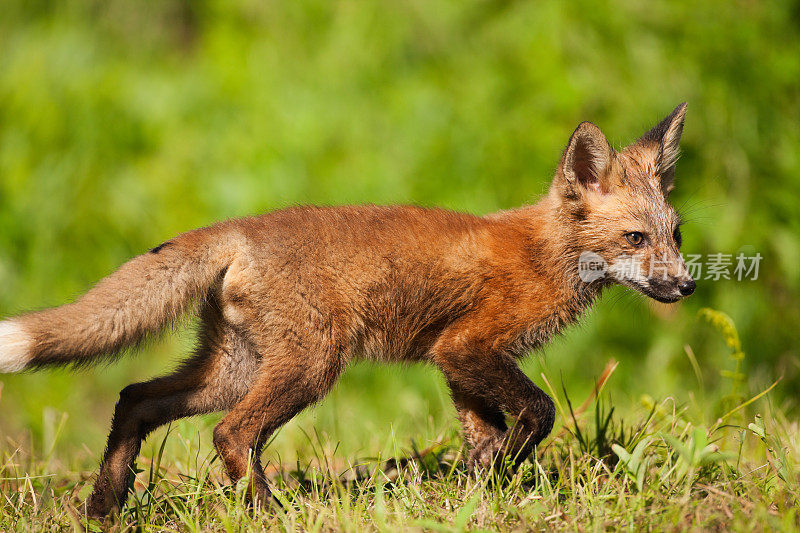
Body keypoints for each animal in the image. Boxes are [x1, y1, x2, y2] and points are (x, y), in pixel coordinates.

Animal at [0, 103, 692, 516]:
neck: (543, 252)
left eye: (676, 234)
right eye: (635, 238)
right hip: (308, 369)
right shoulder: (468, 346)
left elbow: (482, 436)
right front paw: (499, 476)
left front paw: (476, 491)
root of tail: (238, 228)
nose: (685, 286)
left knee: (136, 399)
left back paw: (104, 506)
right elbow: (536, 414)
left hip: (234, 370)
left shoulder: (455, 362)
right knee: (230, 433)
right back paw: (266, 515)